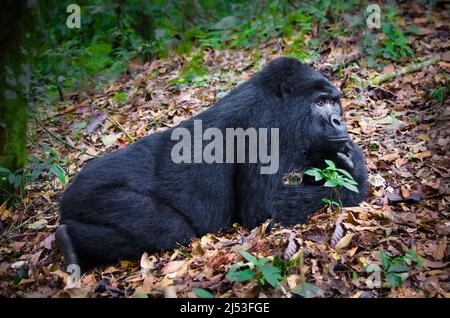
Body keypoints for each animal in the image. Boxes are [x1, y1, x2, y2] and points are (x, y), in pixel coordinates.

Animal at [56, 56, 368, 268]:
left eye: (334, 102)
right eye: (320, 102)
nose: (338, 121)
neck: (281, 101)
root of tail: (65, 196)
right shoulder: (265, 125)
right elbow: (262, 208)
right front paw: (354, 178)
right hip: (93, 196)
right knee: (171, 228)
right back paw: (67, 243)